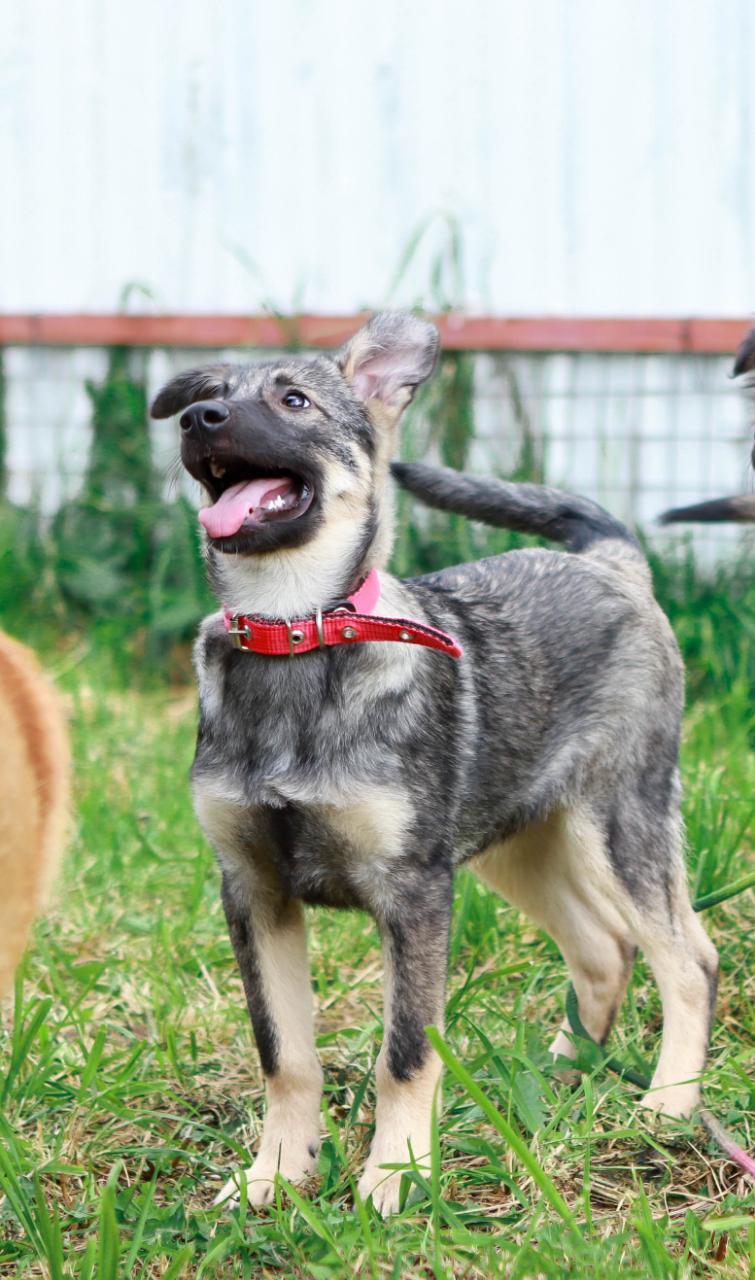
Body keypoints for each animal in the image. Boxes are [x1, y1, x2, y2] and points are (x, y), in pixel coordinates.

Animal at [151, 314, 716, 1213]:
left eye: (294, 400)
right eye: (208, 396)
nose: (197, 420)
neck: (296, 633)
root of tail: (611, 561)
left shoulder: (414, 894)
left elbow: (407, 1052)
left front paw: (396, 1175)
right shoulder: (252, 889)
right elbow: (285, 1053)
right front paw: (277, 1174)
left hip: (618, 820)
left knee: (687, 960)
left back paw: (666, 1105)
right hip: (518, 840)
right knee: (602, 949)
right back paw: (559, 1076)